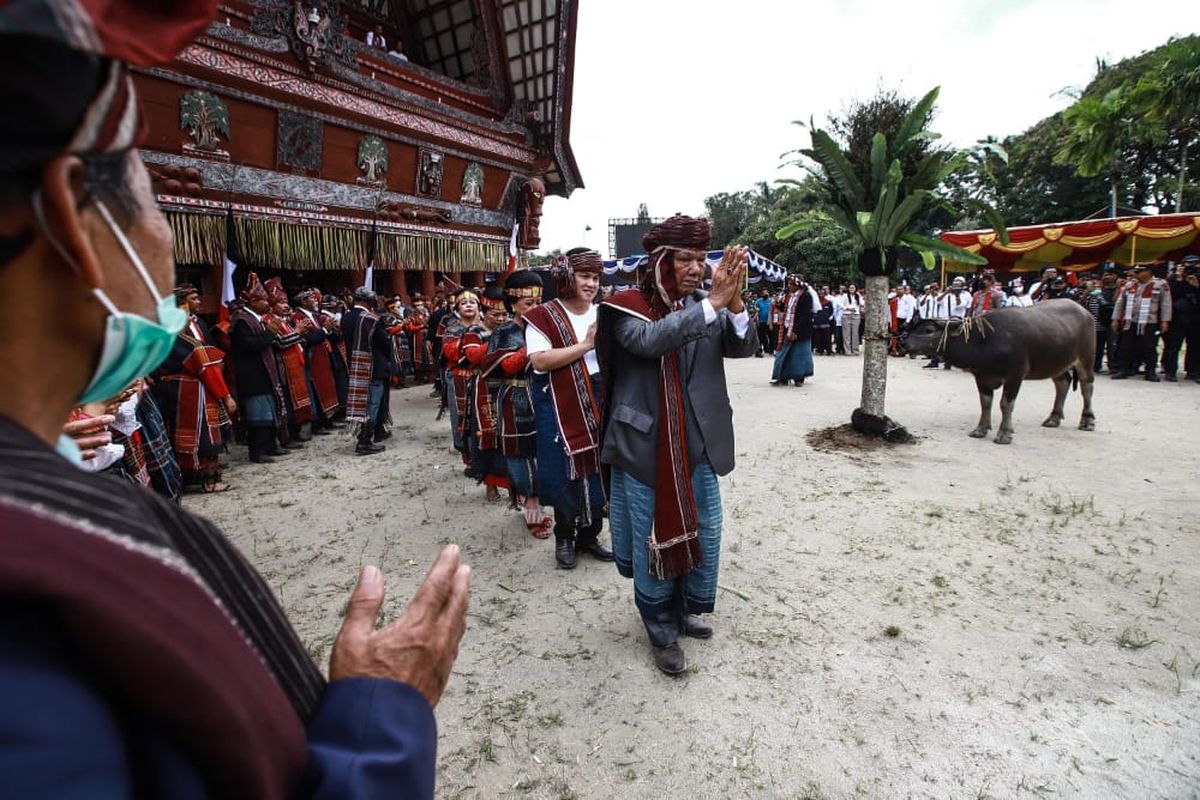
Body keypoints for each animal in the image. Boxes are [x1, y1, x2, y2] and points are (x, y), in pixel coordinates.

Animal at [902, 299, 1094, 443]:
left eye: (928, 330)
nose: (904, 343)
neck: (984, 340)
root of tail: (1085, 312)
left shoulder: (1015, 376)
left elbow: (1006, 404)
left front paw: (1004, 433)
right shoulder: (981, 377)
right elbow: (985, 403)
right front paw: (980, 429)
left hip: (1085, 358)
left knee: (1087, 386)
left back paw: (1087, 420)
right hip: (1057, 363)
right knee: (1063, 383)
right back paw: (1054, 418)